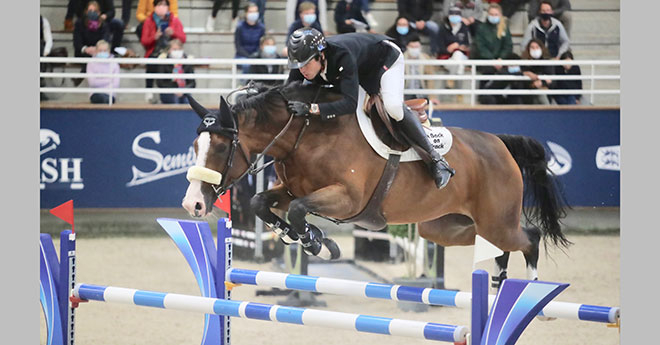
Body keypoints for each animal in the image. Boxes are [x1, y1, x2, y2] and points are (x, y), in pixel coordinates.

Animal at [182, 81, 572, 284]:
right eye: (195, 146)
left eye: (220, 147)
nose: (192, 204)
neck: (306, 133)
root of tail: (500, 144)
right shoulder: (292, 189)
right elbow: (261, 203)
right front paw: (298, 237)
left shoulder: (346, 198)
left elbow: (298, 210)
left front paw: (317, 242)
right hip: (446, 227)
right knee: (498, 246)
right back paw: (497, 284)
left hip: (495, 220)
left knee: (529, 237)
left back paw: (528, 292)